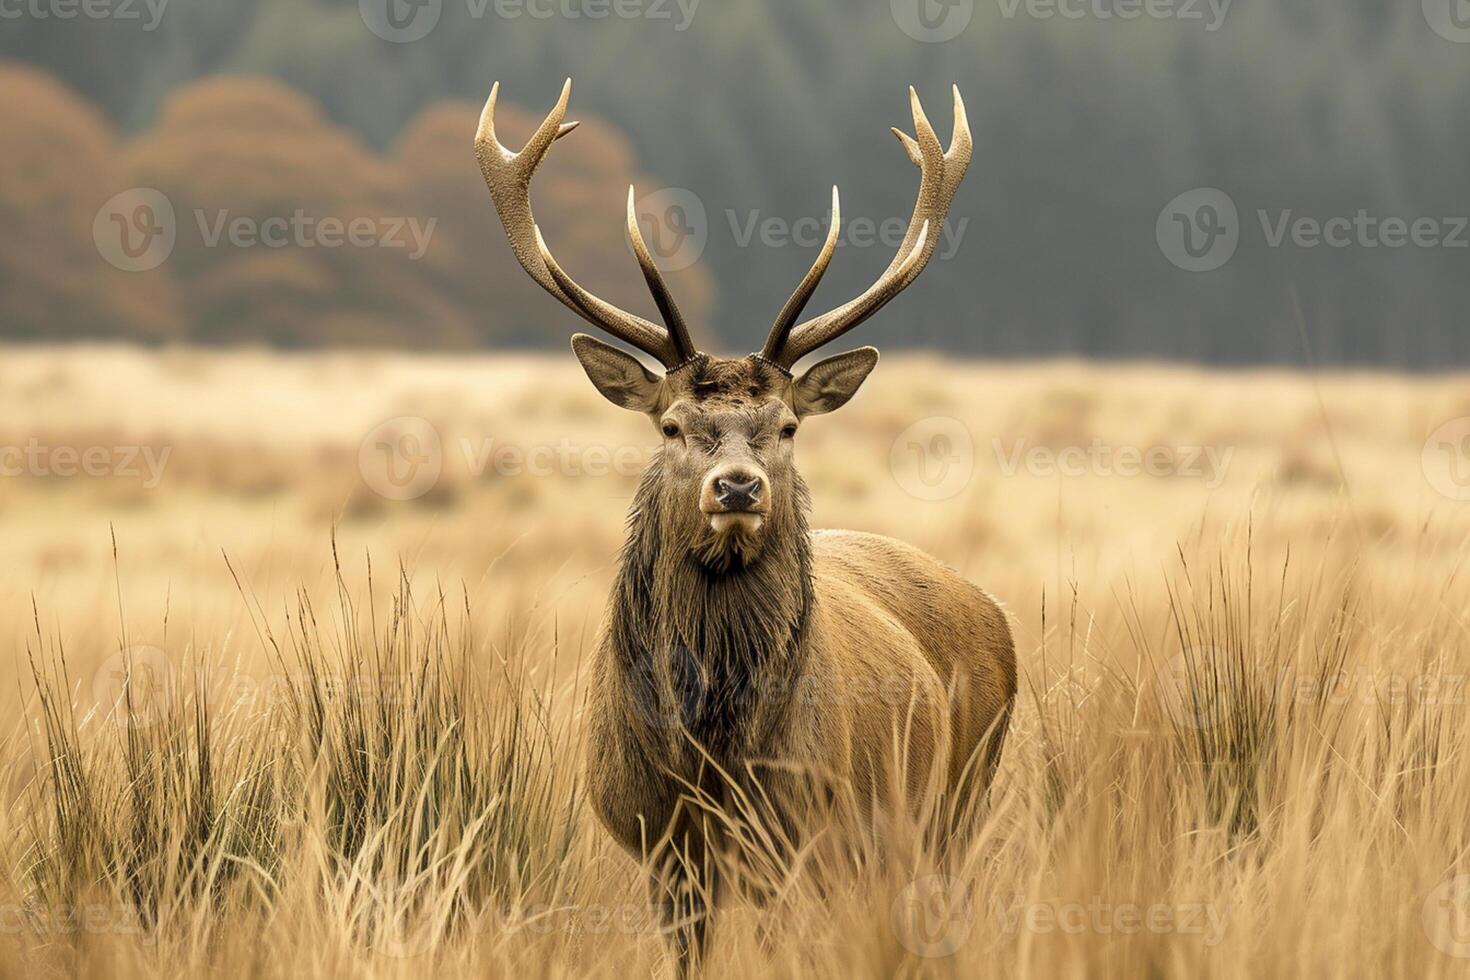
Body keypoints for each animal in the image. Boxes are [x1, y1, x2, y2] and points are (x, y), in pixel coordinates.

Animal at [476, 78, 1017, 975]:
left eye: (788, 425)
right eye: (670, 426)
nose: (737, 486)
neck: (712, 756)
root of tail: (993, 609)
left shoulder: (796, 834)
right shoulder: (662, 844)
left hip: (956, 803)